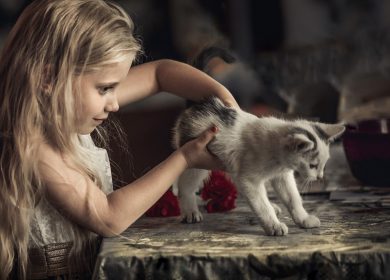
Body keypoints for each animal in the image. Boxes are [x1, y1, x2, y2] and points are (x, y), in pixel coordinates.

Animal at [174, 97, 344, 235]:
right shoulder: (249, 179)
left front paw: (303, 219)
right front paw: (274, 226)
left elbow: (293, 198)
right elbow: (261, 205)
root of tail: (199, 106)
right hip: (197, 161)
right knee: (185, 187)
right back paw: (190, 212)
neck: (278, 158)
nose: (320, 177)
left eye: (323, 164)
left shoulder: (282, 176)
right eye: (313, 165)